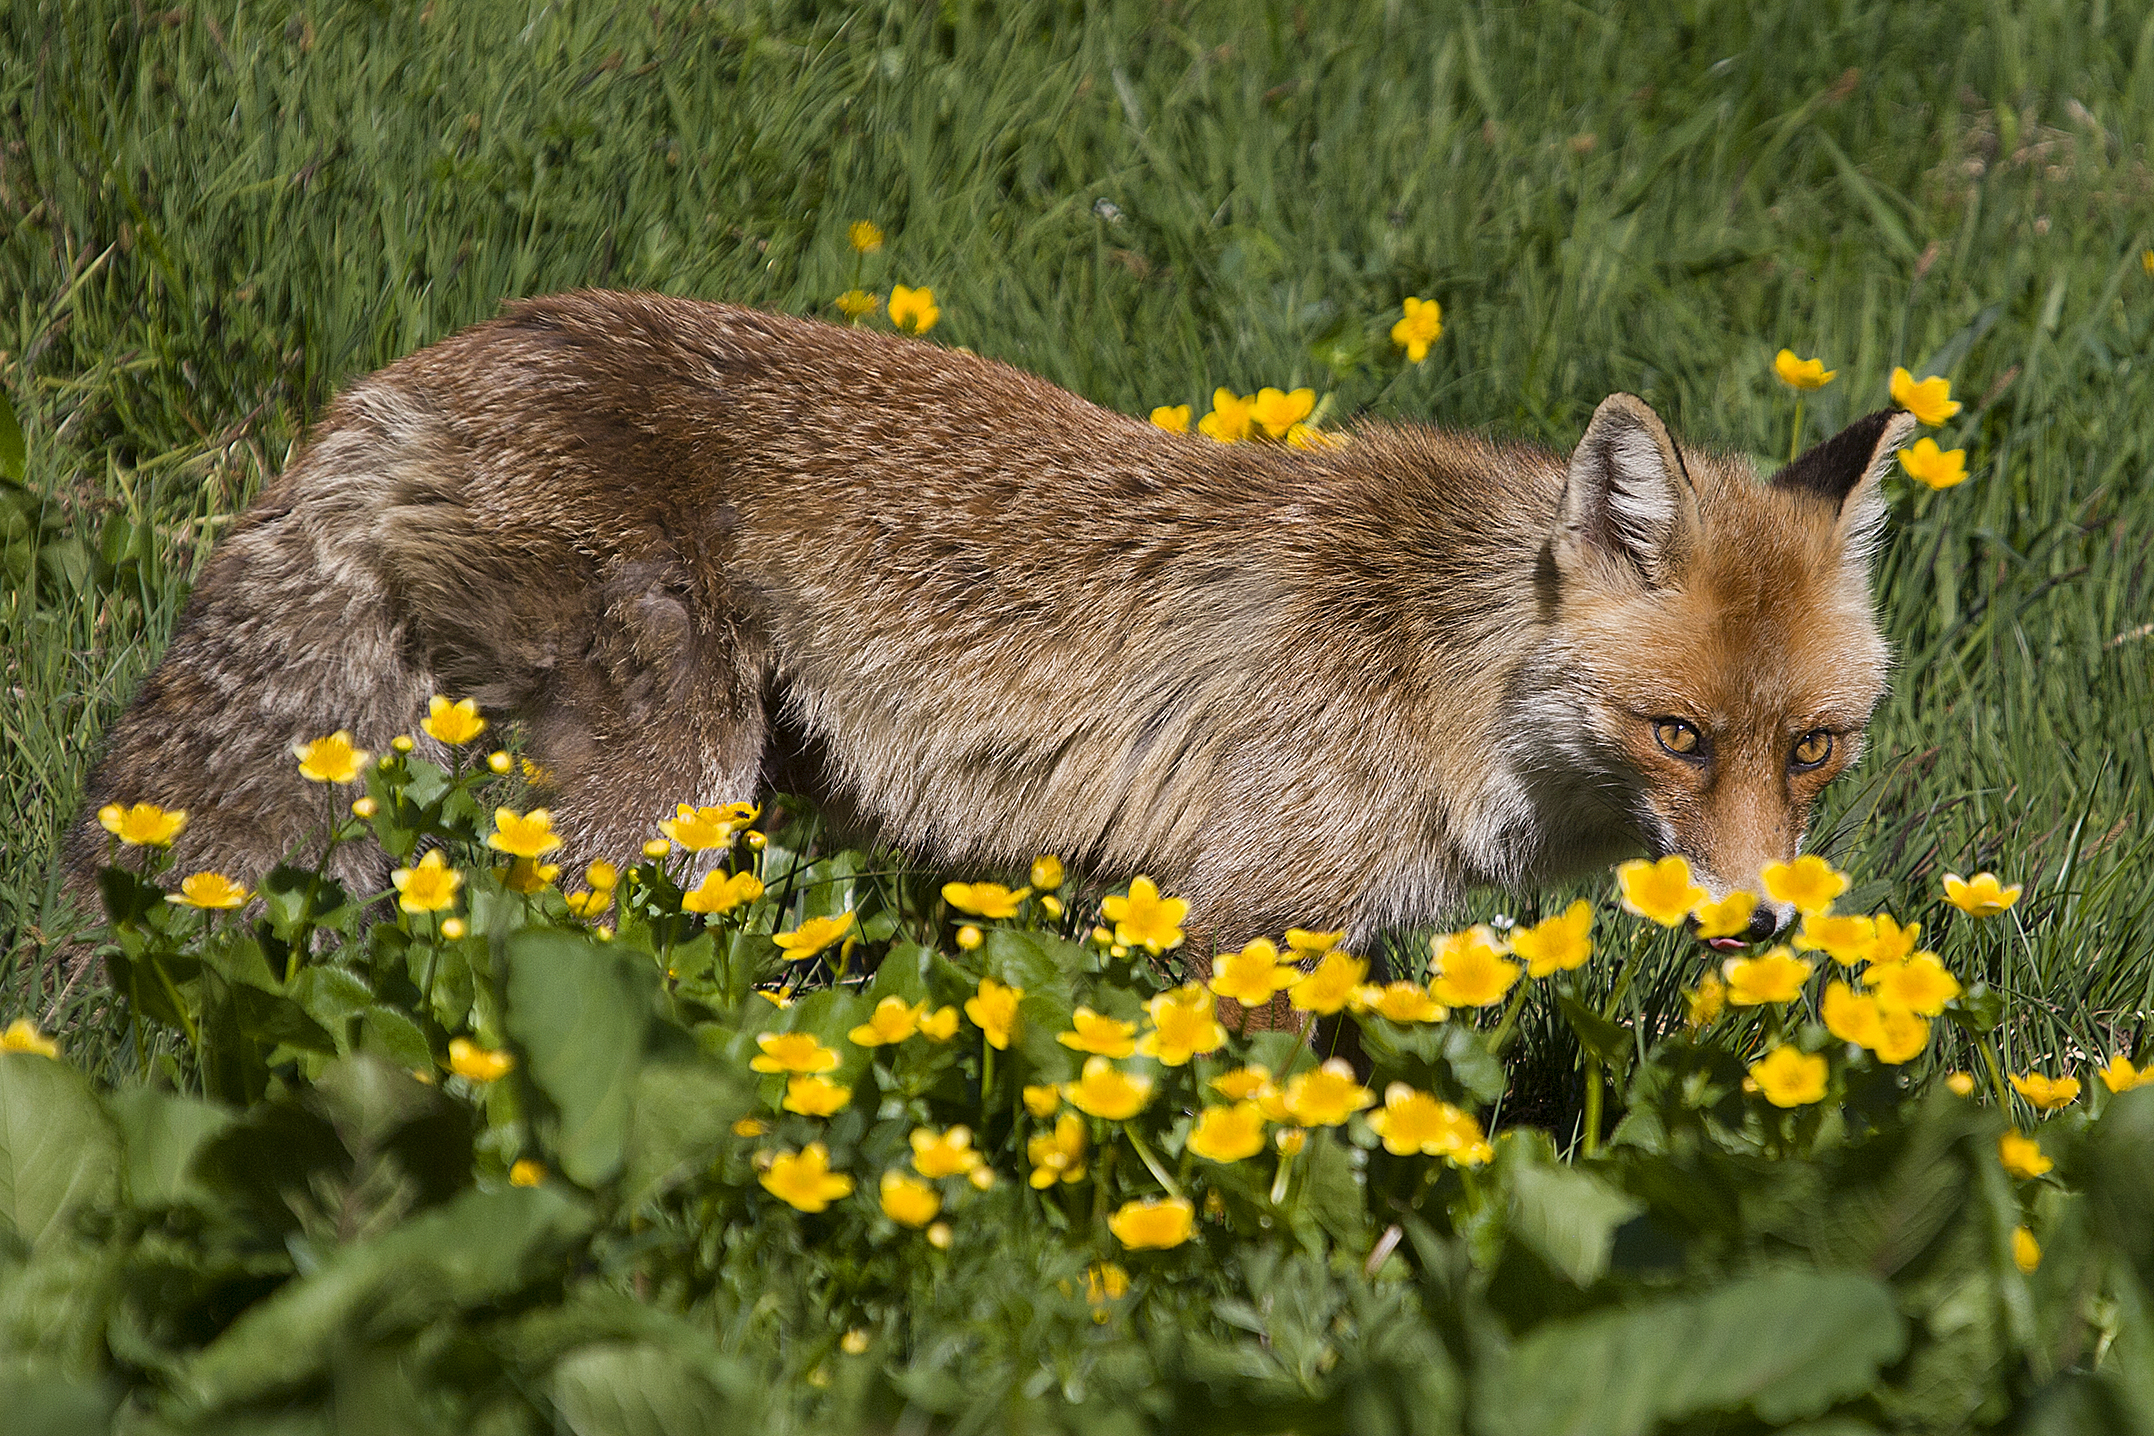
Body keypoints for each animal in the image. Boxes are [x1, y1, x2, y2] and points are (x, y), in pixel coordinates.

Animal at [65, 290, 1914, 970]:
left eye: (1814, 753)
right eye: (1675, 737)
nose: (1767, 926)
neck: (1437, 672)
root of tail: (434, 360)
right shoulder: (1249, 914)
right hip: (664, 793)